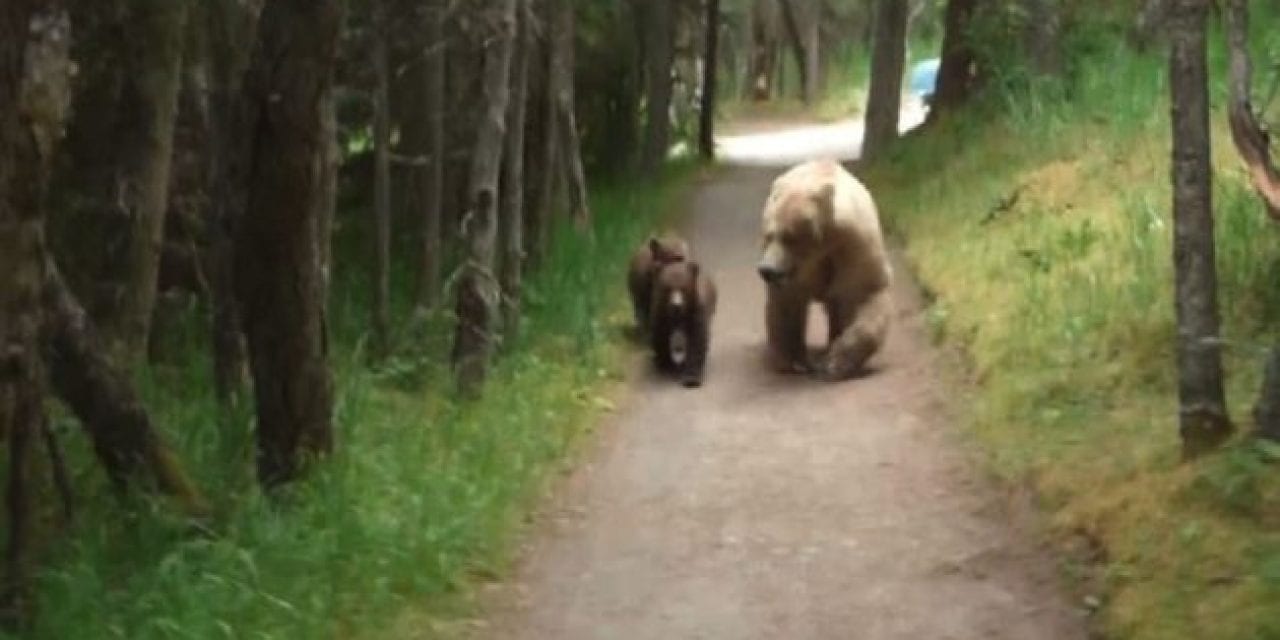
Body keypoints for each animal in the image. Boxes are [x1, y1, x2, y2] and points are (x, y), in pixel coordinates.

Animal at [650, 258, 721, 386]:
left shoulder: (696, 312)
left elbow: (697, 340)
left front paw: (691, 378)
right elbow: (661, 335)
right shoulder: (661, 313)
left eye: (683, 288)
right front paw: (664, 363)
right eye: (668, 288)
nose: (676, 305)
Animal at [752, 160, 896, 378]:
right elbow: (788, 305)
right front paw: (795, 361)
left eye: (790, 237)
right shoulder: (795, 274)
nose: (767, 269)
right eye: (769, 235)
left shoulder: (854, 248)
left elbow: (866, 294)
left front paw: (836, 362)